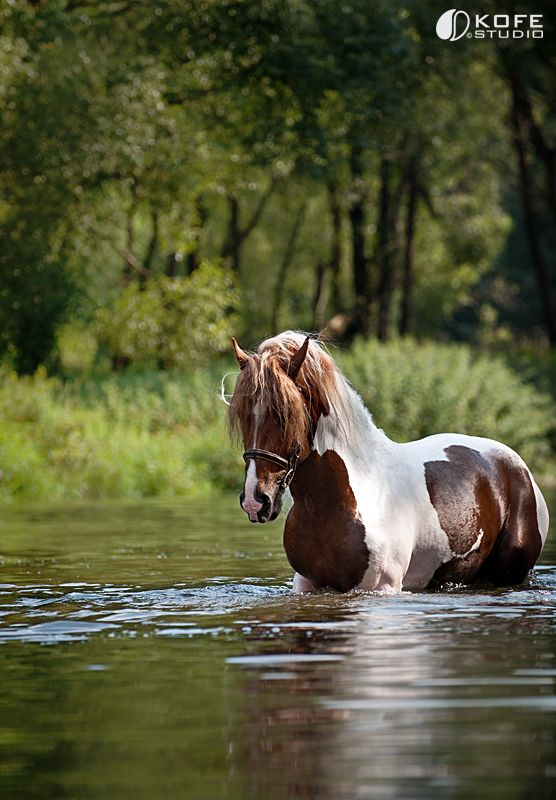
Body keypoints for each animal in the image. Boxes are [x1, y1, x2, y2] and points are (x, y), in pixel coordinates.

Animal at [228, 332, 548, 592]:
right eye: (243, 415)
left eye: (284, 414)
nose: (256, 500)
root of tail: (518, 466)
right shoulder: (308, 584)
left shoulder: (380, 587)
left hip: (509, 574)